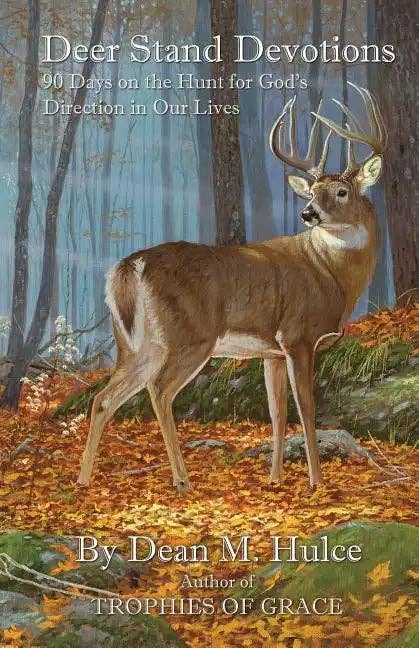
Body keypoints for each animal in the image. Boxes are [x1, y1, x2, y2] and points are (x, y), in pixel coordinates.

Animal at [77, 83, 387, 493]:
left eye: (341, 192)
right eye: (312, 192)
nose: (308, 213)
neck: (330, 274)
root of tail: (130, 266)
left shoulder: (272, 352)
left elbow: (277, 411)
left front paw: (274, 478)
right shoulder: (297, 337)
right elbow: (306, 408)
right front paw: (316, 482)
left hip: (135, 344)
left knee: (104, 397)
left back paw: (83, 480)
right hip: (191, 336)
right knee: (159, 391)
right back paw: (182, 481)